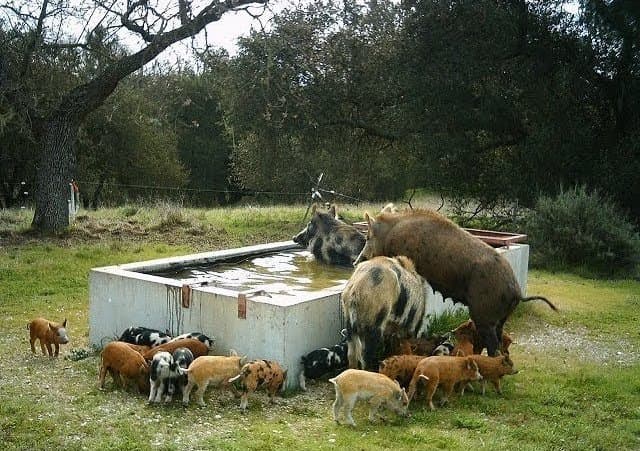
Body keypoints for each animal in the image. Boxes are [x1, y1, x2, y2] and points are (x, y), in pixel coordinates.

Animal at [354, 209, 558, 356]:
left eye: (368, 237)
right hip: (501, 318)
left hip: (484, 314)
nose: (356, 262)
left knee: (494, 346)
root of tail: (517, 291)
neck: (390, 233)